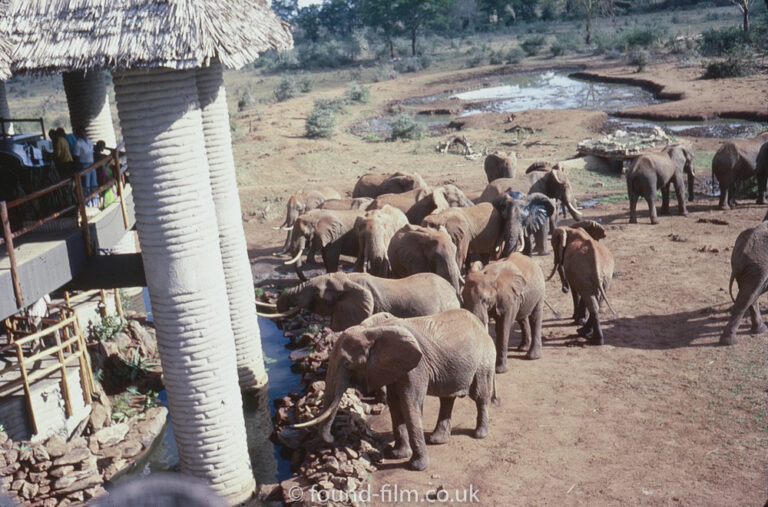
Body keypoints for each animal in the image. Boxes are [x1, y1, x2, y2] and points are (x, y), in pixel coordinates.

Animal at [294, 310, 498, 472]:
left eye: (347, 364)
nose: (332, 439)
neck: (372, 330)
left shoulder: (417, 367)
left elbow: (409, 403)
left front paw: (416, 466)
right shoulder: (391, 366)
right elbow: (394, 401)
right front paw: (396, 454)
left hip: (485, 358)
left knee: (479, 395)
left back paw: (479, 434)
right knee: (447, 397)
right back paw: (437, 440)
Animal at [544, 220, 616, 348]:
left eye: (553, 245)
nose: (564, 289)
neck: (570, 229)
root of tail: (597, 264)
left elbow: (575, 290)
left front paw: (575, 319)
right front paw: (579, 320)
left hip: (588, 273)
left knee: (592, 302)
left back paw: (591, 338)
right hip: (605, 276)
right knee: (596, 300)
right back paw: (588, 334)